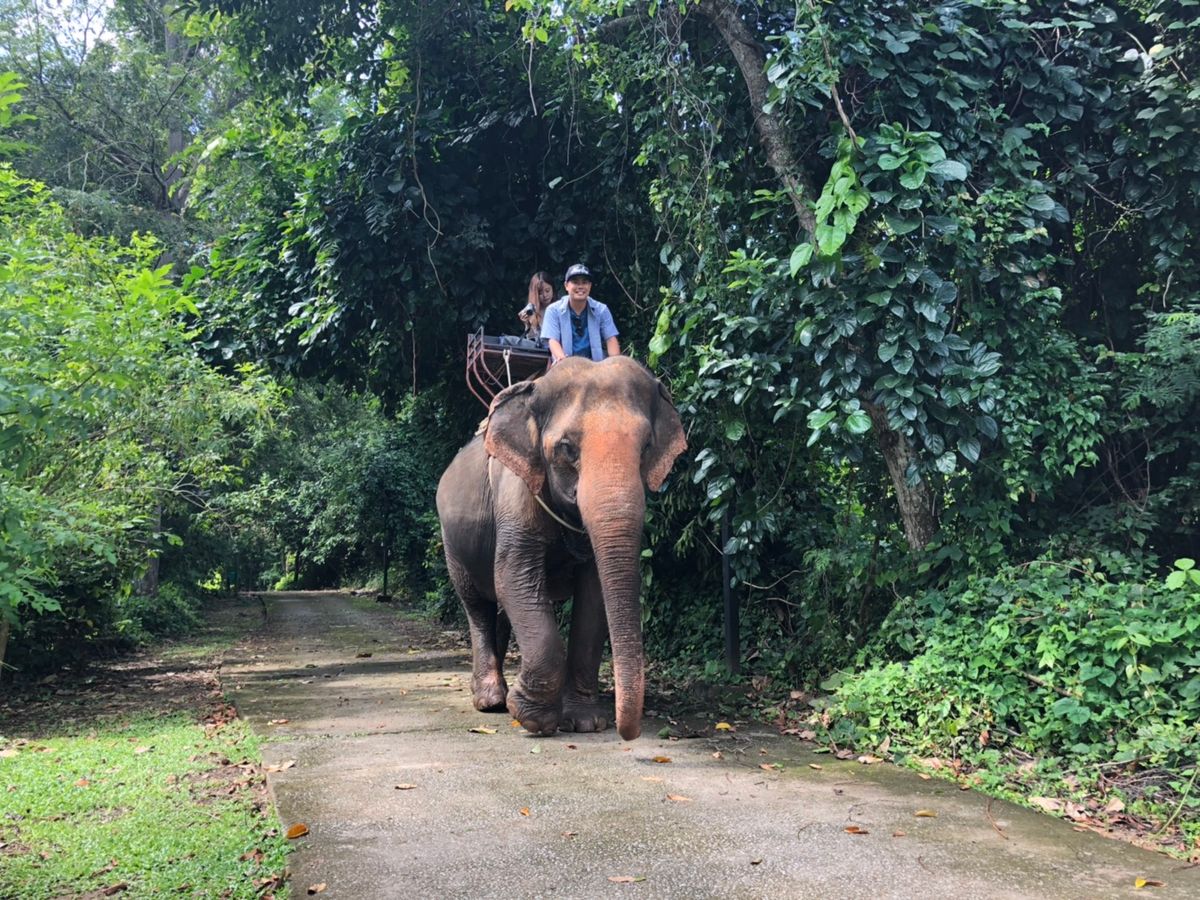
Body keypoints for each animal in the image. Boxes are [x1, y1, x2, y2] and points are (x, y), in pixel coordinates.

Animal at [435, 356, 687, 740]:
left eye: (646, 447)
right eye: (567, 448)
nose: (627, 732)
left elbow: (593, 595)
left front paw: (586, 723)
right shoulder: (517, 489)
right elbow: (515, 577)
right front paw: (532, 717)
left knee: (499, 608)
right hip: (453, 541)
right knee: (477, 604)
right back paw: (491, 701)